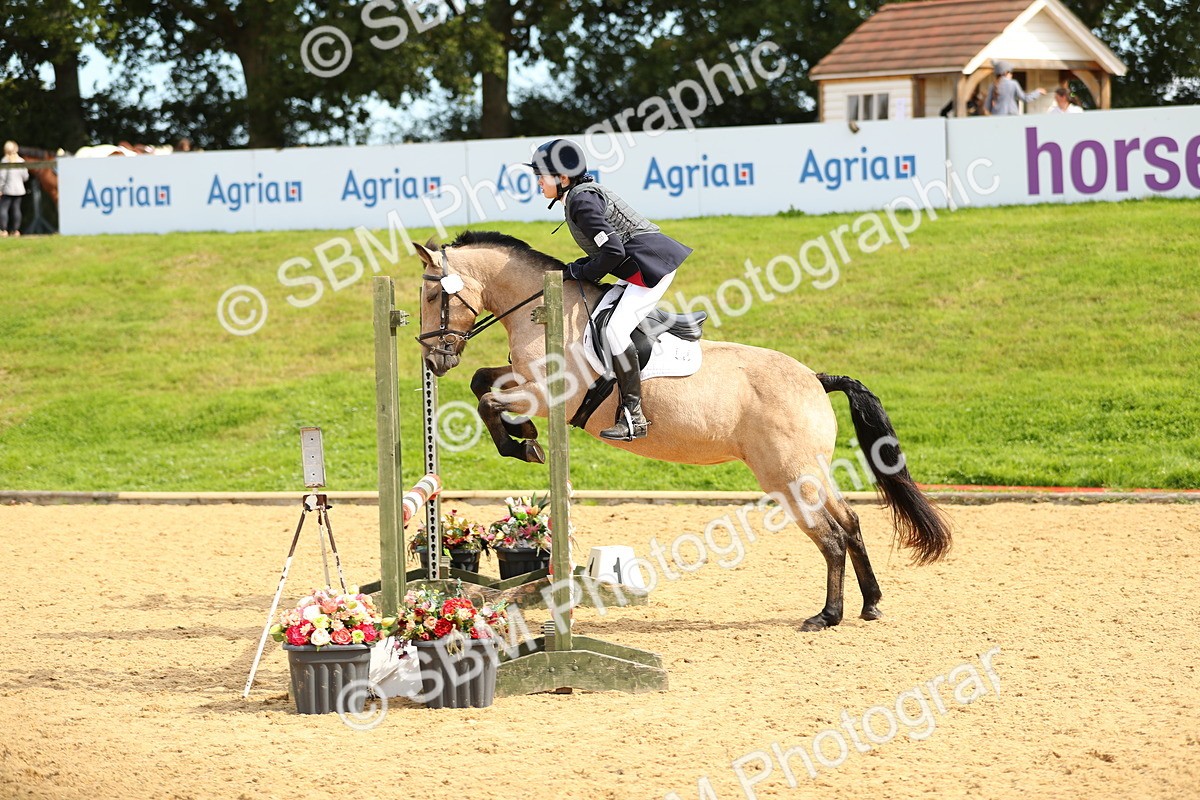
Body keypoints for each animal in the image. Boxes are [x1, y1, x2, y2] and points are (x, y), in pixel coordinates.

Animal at [413, 231, 951, 631]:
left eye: (434, 294)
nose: (434, 360)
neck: (542, 310)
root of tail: (817, 380)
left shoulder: (549, 397)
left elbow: (488, 399)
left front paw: (522, 444)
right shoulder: (523, 382)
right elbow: (483, 381)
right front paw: (523, 436)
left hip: (787, 474)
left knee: (831, 536)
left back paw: (827, 615)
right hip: (811, 470)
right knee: (851, 524)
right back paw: (871, 604)